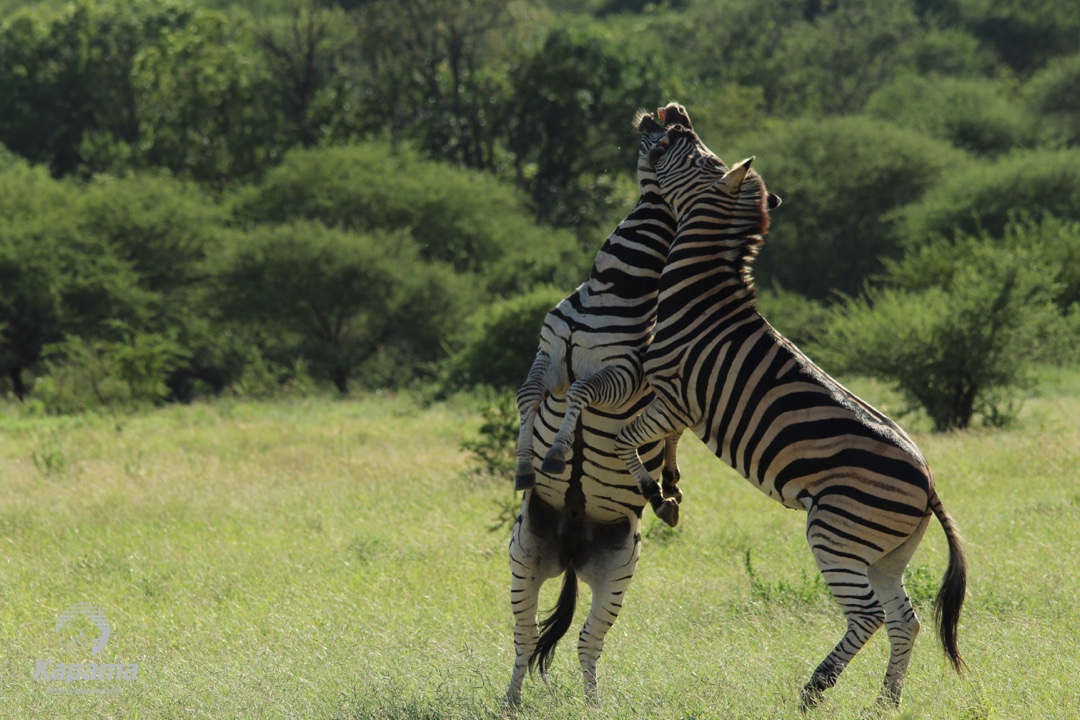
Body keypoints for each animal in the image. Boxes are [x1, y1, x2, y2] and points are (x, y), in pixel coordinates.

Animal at [505, 104, 689, 707]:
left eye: (680, 134)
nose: (671, 108)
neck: (613, 287)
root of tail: (571, 551)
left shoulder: (626, 376)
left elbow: (583, 396)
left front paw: (559, 451)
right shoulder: (548, 353)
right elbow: (529, 395)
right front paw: (526, 462)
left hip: (618, 569)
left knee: (588, 644)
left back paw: (592, 705)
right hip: (524, 555)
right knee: (522, 639)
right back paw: (510, 702)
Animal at [613, 124, 967, 708]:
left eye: (694, 151)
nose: (668, 121)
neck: (701, 296)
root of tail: (929, 483)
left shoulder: (674, 395)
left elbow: (626, 440)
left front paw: (654, 493)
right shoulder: (677, 410)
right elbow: (661, 446)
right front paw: (670, 488)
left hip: (836, 531)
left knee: (869, 615)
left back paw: (815, 689)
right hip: (887, 552)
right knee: (905, 620)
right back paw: (884, 702)